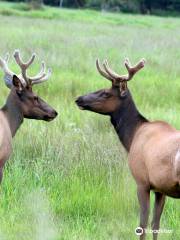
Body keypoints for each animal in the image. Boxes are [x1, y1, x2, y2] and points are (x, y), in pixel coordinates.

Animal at [75, 58, 180, 240]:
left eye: (106, 93)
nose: (79, 99)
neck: (132, 138)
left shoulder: (142, 182)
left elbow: (142, 224)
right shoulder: (161, 188)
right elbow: (155, 224)